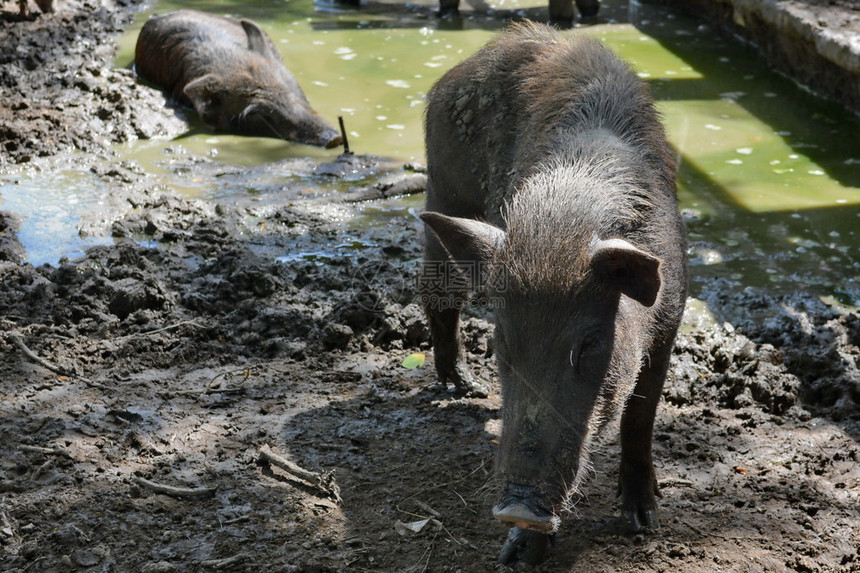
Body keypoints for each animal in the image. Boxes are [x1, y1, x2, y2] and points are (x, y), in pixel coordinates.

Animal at [420, 21, 688, 564]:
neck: (562, 225)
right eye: (502, 342)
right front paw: (515, 556)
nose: (517, 508)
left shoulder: (671, 314)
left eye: (588, 344)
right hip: (446, 192)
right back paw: (462, 388)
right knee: (436, 293)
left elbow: (640, 417)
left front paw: (643, 523)